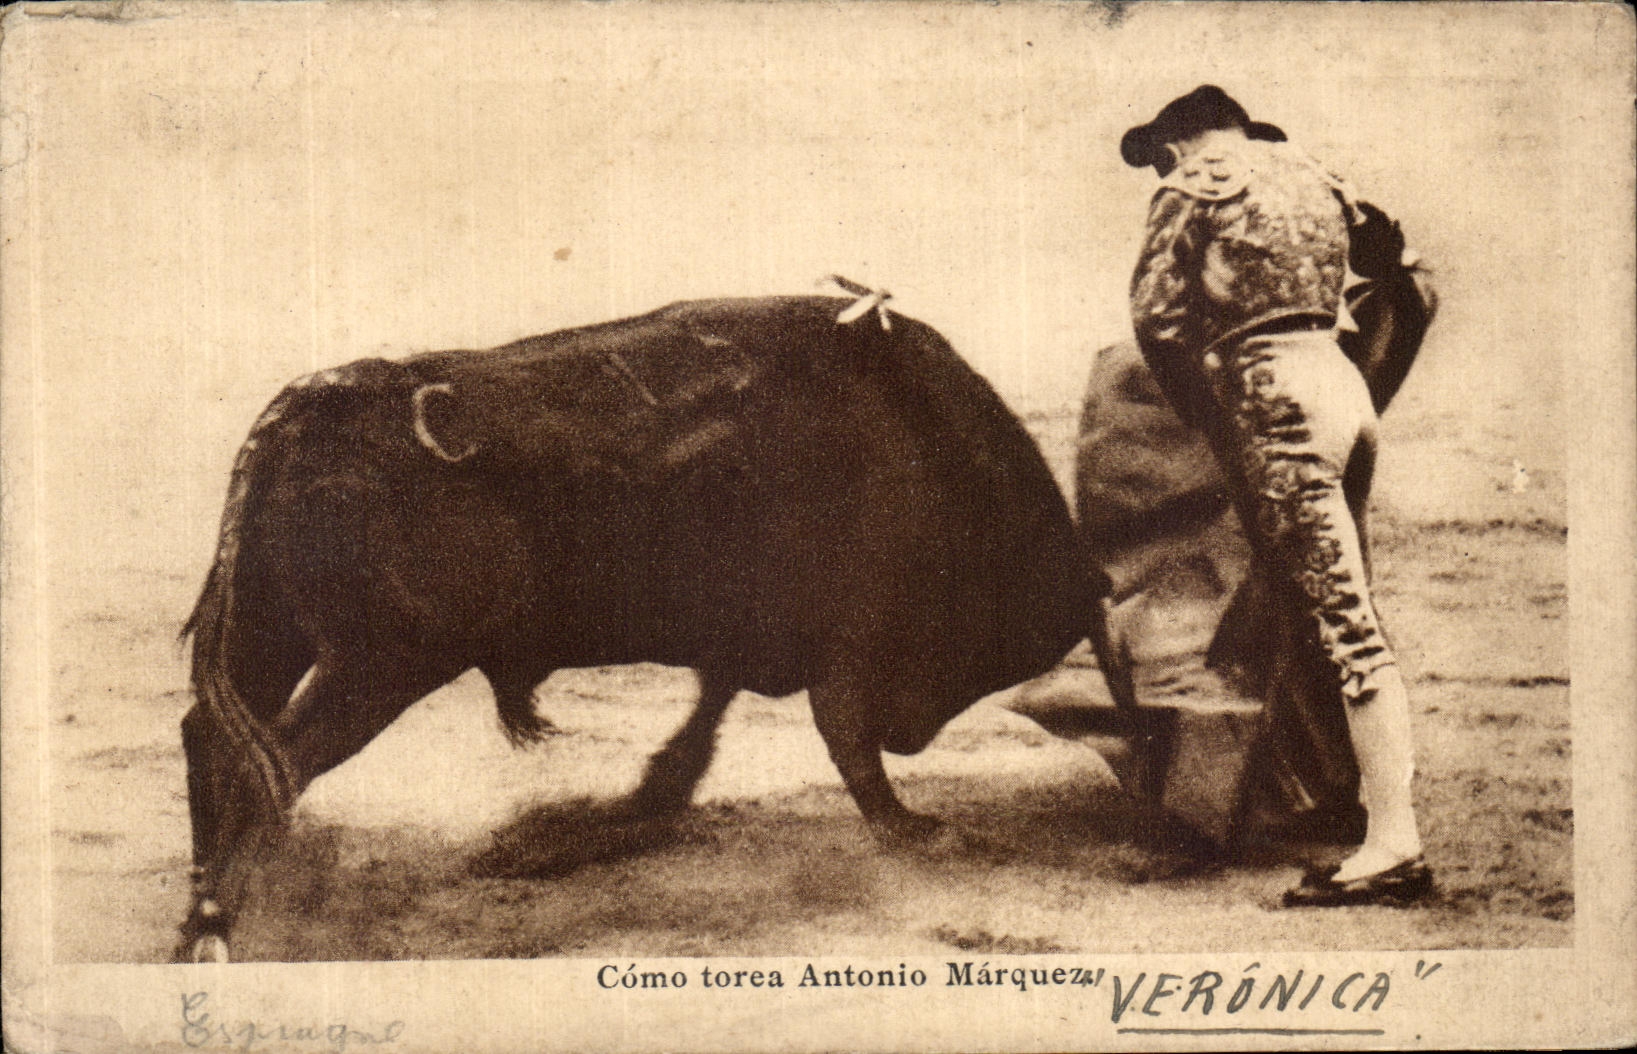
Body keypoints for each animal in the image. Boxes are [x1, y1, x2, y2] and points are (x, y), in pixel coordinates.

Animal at [177, 293, 1127, 962]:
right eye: (999, 639)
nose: (913, 736)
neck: (923, 442)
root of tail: (305, 411)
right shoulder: (846, 646)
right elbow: (842, 738)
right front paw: (910, 827)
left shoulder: (741, 644)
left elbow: (704, 724)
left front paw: (628, 811)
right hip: (379, 665)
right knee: (280, 760)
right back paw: (227, 919)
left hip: (273, 633)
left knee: (214, 737)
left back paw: (202, 907)